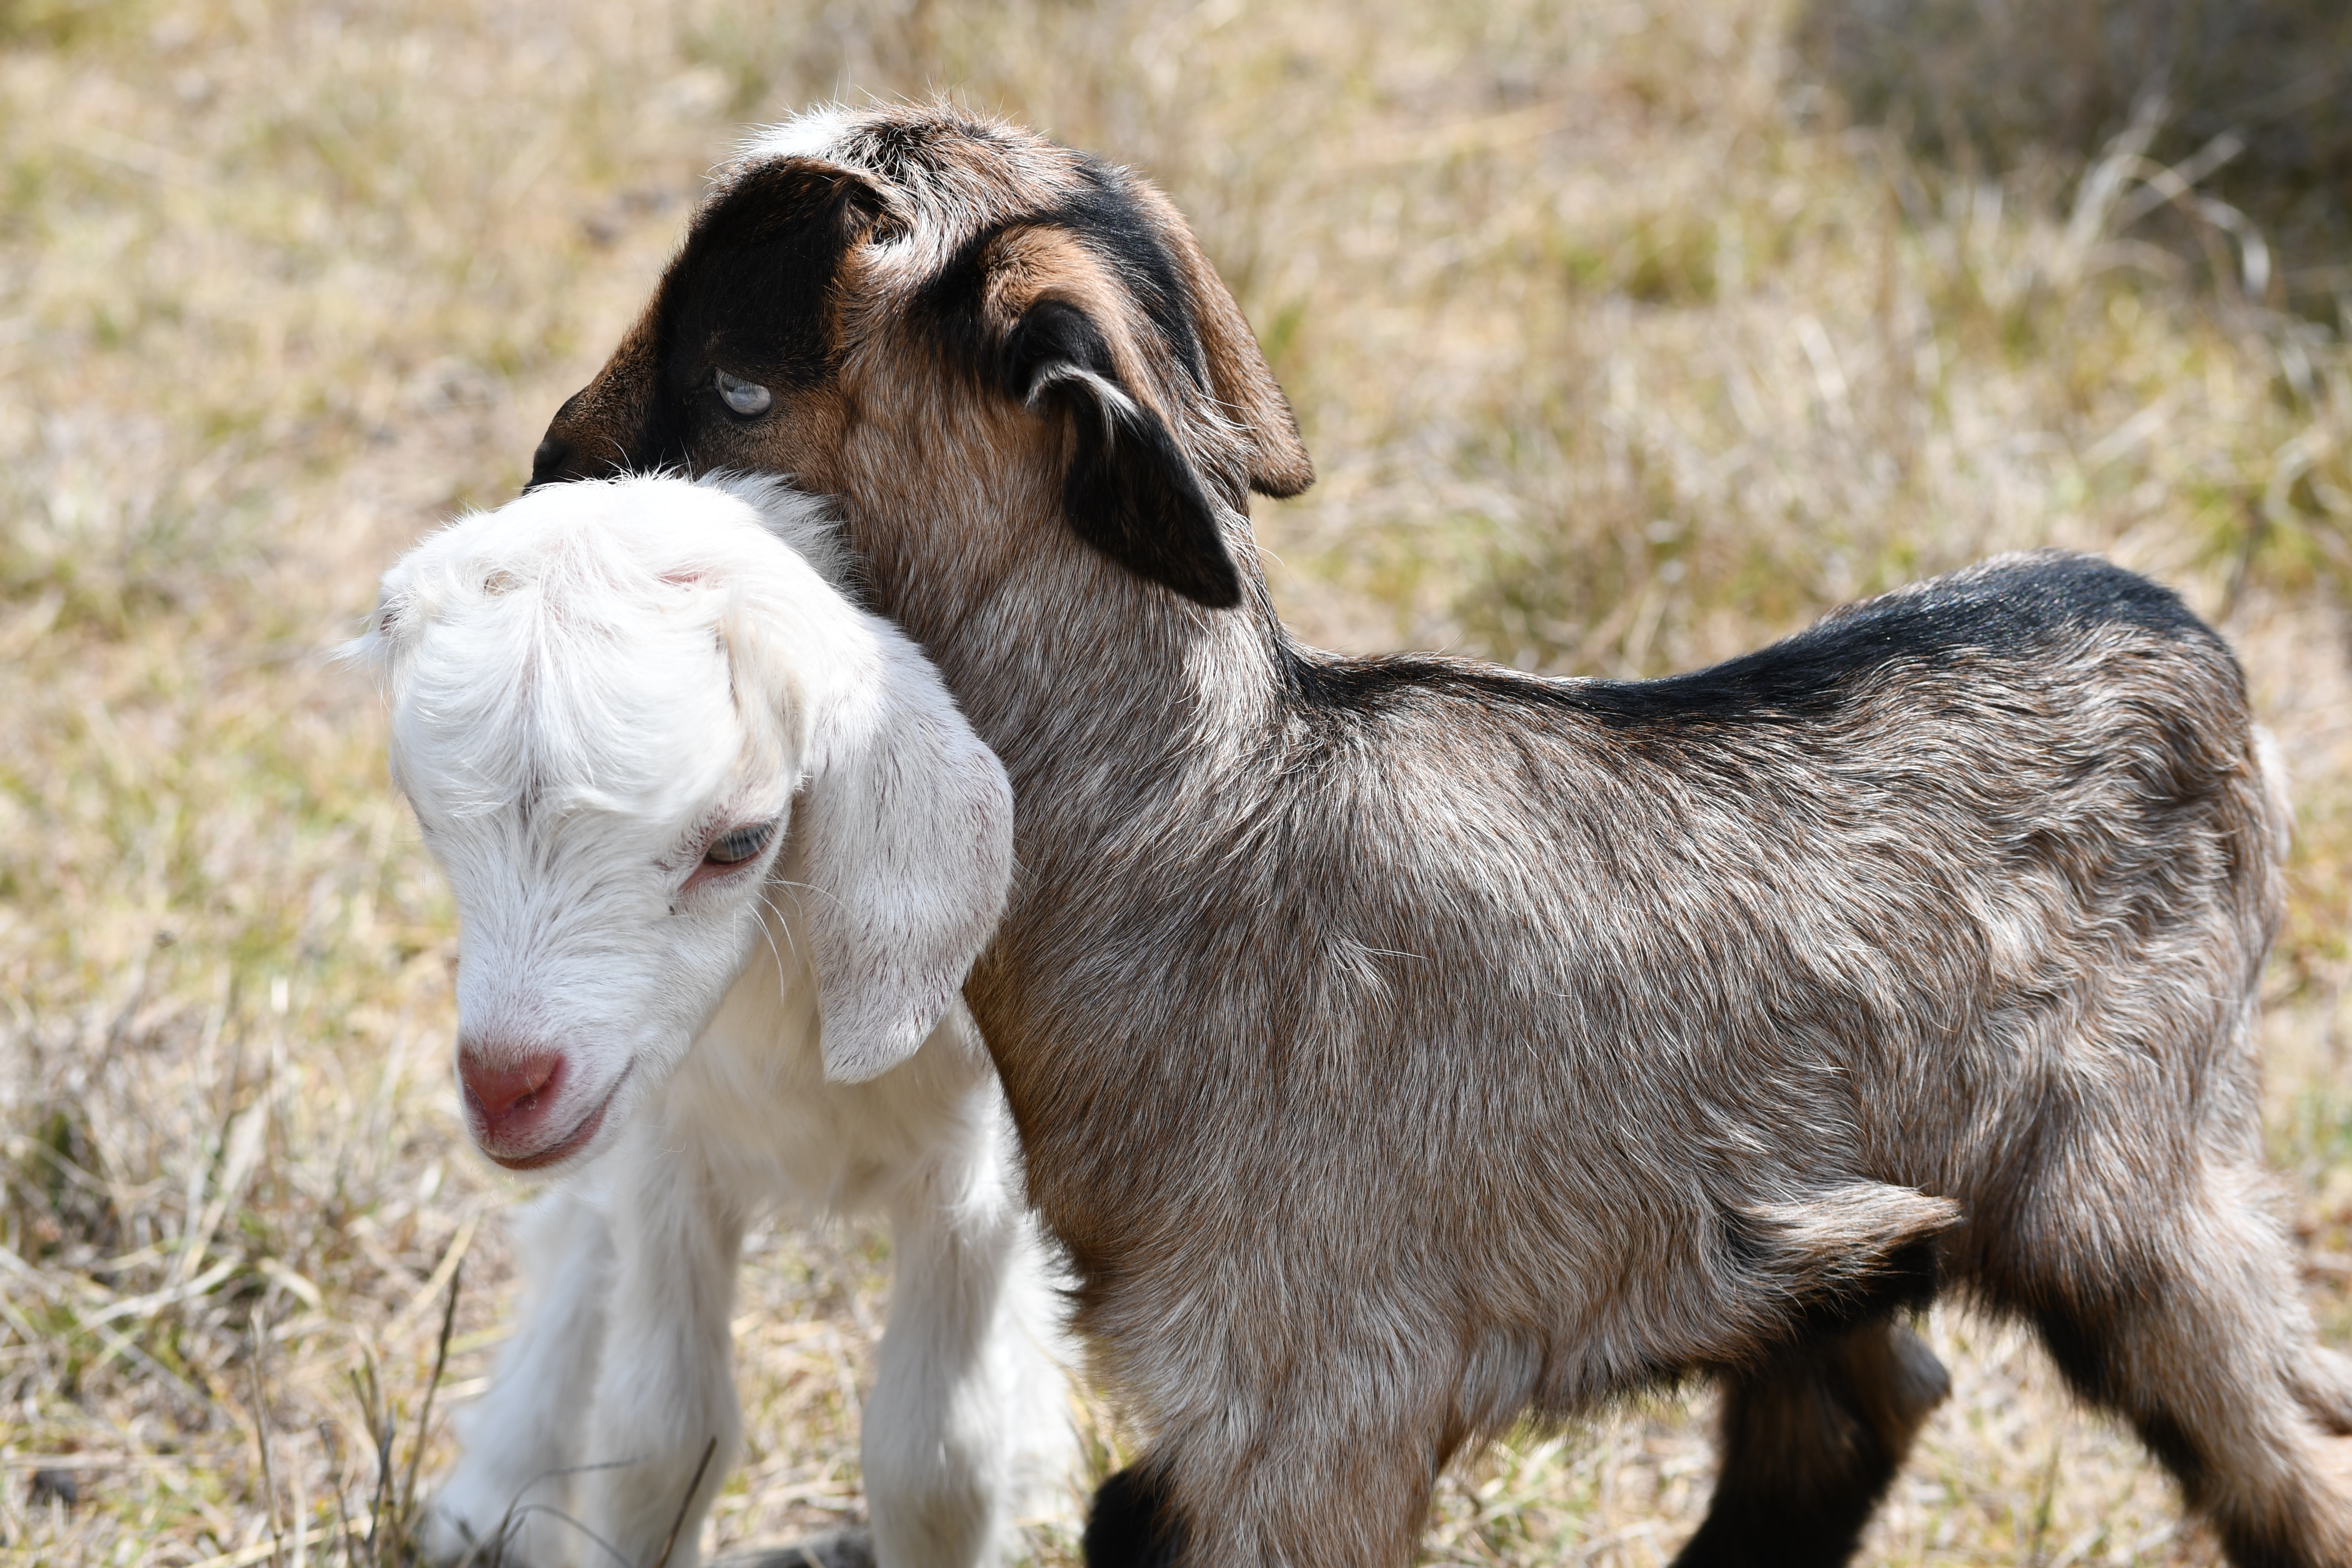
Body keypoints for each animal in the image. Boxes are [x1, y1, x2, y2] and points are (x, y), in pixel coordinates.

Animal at [345, 474, 1073, 1568]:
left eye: (740, 841)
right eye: (429, 822)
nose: (505, 1085)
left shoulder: (972, 1177)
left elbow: (938, 1462)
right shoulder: (665, 1148)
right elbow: (661, 1437)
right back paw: (499, 1485)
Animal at [525, 103, 2352, 1568]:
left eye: (737, 379)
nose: (550, 462)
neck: (1211, 833)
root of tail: (2182, 637)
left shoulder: (1312, 1413)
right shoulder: (1235, 1426)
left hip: (2141, 1189)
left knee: (2290, 1446)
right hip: (1844, 1232)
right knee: (1862, 1393)